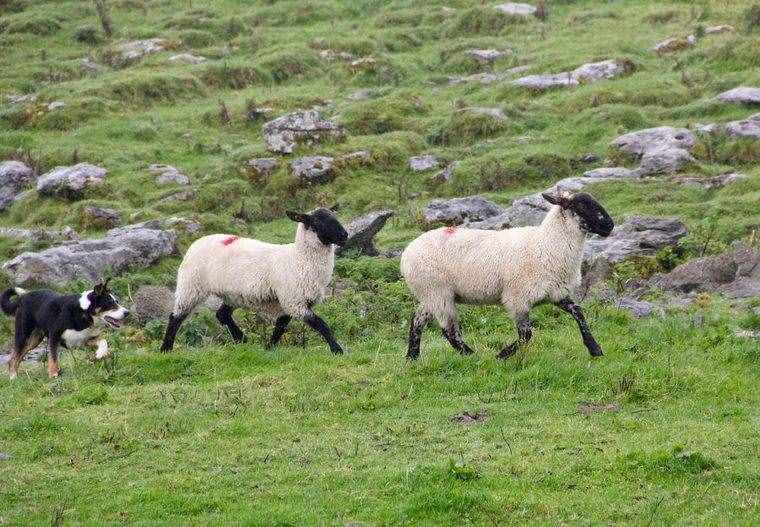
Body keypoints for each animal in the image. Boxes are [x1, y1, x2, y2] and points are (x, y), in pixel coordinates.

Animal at [0, 282, 128, 382]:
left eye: (117, 301)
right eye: (110, 303)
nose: (127, 313)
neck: (84, 313)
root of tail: (23, 297)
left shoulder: (85, 339)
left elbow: (103, 341)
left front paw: (101, 353)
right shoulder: (54, 337)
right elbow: (53, 359)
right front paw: (53, 375)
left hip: (33, 341)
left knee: (18, 356)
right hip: (24, 336)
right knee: (14, 358)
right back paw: (13, 377)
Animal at [163, 208, 350, 352]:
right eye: (317, 221)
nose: (344, 235)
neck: (299, 258)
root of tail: (197, 242)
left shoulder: (292, 302)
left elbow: (280, 327)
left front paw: (269, 348)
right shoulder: (294, 301)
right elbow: (321, 324)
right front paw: (337, 349)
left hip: (232, 294)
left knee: (222, 314)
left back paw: (241, 339)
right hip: (191, 286)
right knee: (176, 317)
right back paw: (166, 349)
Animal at [400, 192, 616, 360]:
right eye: (580, 205)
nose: (609, 225)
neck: (547, 244)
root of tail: (406, 253)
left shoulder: (556, 293)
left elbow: (578, 313)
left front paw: (595, 349)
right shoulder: (517, 298)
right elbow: (526, 334)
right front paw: (502, 355)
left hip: (430, 294)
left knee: (418, 319)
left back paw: (412, 356)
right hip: (438, 291)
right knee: (449, 331)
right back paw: (472, 356)